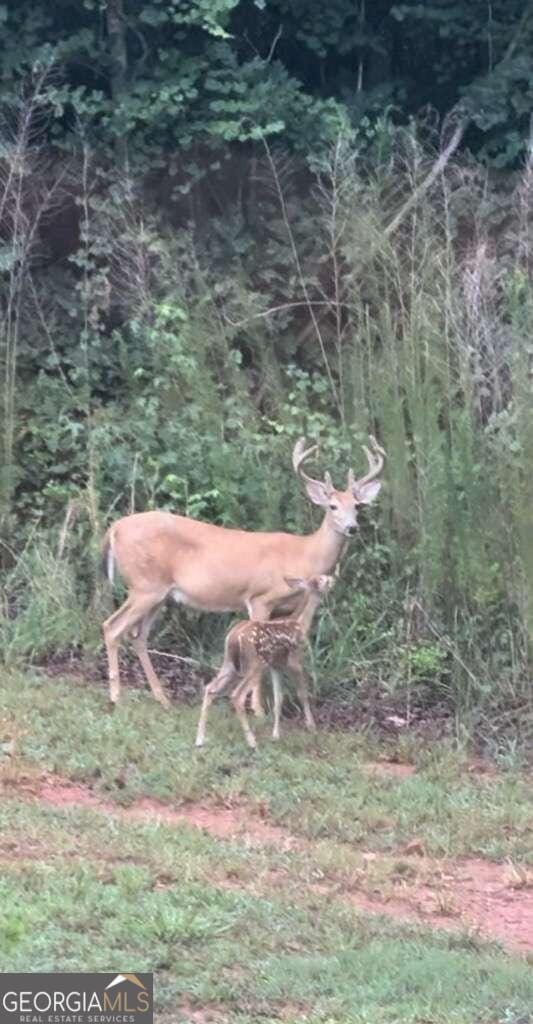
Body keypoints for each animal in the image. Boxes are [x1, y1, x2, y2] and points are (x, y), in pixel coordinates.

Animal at [99, 436, 382, 708]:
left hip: (160, 593)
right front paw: (257, 709)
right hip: (145, 585)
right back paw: (115, 696)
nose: (352, 528)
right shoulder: (260, 598)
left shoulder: (286, 609)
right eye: (332, 506)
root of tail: (115, 528)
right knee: (112, 627)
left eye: (358, 506)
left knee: (138, 636)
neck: (305, 555)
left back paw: (163, 699)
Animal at [197, 573, 335, 749]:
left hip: (230, 662)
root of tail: (234, 638)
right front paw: (312, 727)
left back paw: (200, 739)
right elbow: (302, 693)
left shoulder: (275, 665)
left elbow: (278, 698)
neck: (300, 623)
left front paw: (275, 735)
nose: (332, 579)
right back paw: (252, 742)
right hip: (254, 663)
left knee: (210, 688)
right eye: (321, 579)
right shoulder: (294, 659)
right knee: (237, 695)